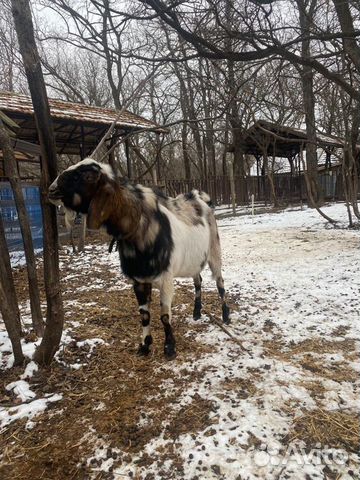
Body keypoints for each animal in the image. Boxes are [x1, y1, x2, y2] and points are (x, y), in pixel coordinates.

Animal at [48, 159, 231, 358]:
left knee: (220, 281)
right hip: (194, 260)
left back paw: (226, 315)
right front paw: (144, 346)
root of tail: (199, 197)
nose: (52, 189)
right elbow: (144, 315)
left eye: (87, 176)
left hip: (214, 250)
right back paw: (196, 313)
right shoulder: (139, 280)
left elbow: (164, 316)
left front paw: (169, 348)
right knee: (198, 279)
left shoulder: (166, 279)